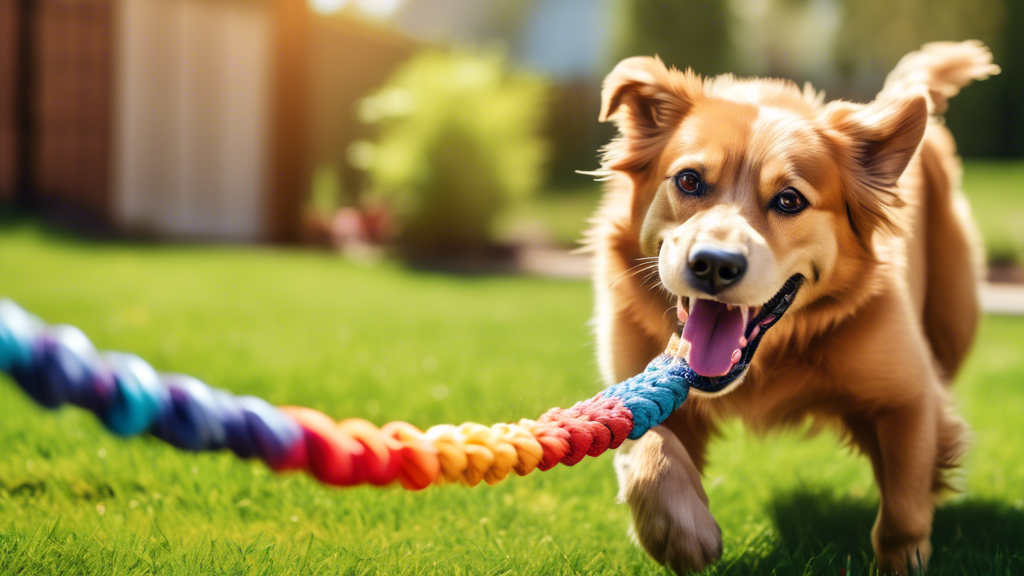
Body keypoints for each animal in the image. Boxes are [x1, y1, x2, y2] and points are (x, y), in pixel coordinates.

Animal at [589, 41, 995, 573]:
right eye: (689, 180)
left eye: (788, 200)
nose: (713, 264)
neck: (770, 358)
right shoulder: (637, 379)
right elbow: (647, 449)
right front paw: (681, 533)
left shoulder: (909, 396)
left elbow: (904, 502)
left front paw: (904, 556)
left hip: (955, 318)